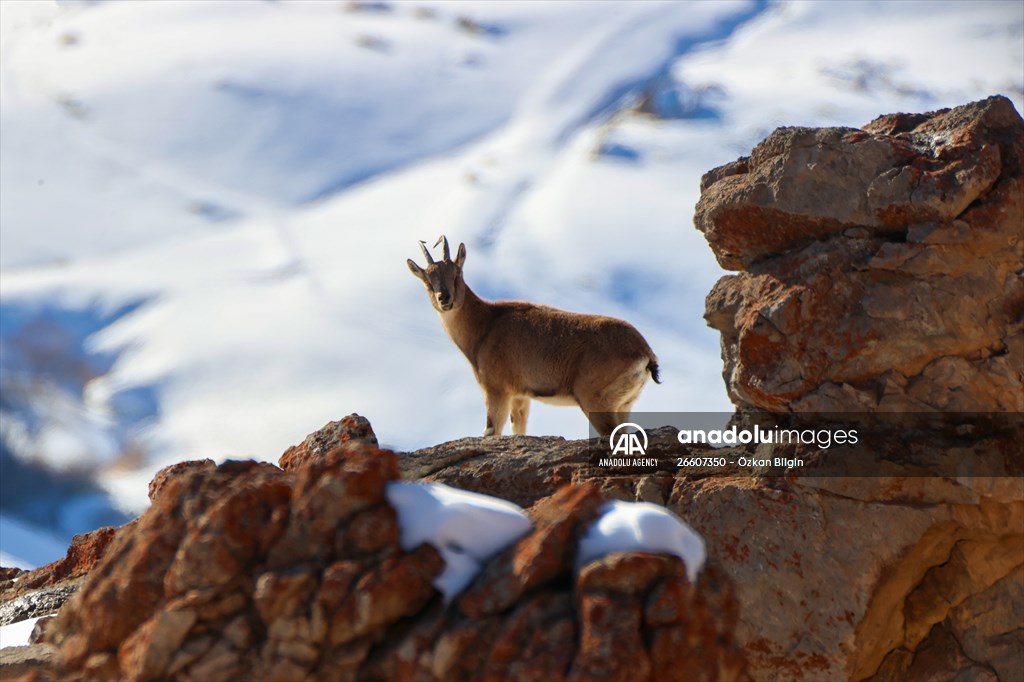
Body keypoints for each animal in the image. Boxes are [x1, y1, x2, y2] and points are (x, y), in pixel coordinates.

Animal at [407, 236, 660, 437]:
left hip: (595, 399)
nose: (445, 298)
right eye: (428, 281)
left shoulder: (497, 389)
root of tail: (644, 351)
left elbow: (492, 431)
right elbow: (518, 429)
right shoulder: (521, 396)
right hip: (624, 404)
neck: (485, 325)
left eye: (457, 274)